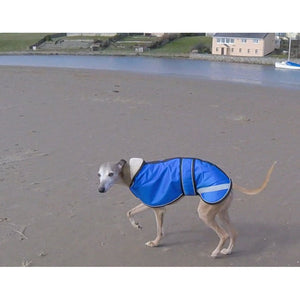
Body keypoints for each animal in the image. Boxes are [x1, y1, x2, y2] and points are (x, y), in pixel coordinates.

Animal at [98, 157, 276, 258]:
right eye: (99, 175)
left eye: (111, 174)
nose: (100, 189)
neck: (133, 172)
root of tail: (229, 180)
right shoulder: (152, 204)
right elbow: (129, 212)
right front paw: (136, 225)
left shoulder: (158, 208)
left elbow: (159, 231)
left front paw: (155, 243)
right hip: (221, 212)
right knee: (234, 233)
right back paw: (227, 251)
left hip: (205, 213)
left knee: (224, 234)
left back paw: (216, 253)